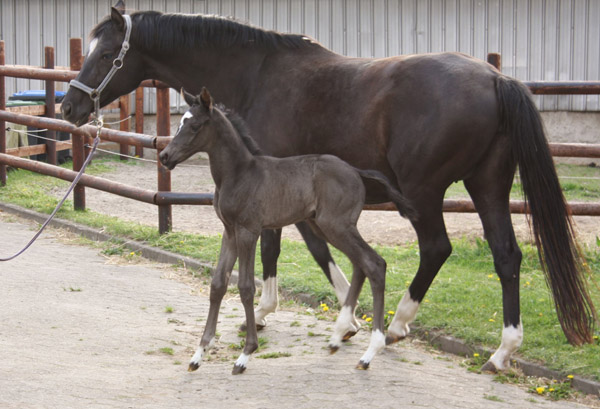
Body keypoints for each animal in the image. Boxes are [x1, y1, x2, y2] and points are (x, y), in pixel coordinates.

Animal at [158, 89, 412, 372]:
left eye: (194, 126)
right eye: (179, 124)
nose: (165, 156)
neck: (239, 174)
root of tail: (356, 171)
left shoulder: (248, 231)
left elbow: (246, 287)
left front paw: (245, 354)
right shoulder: (229, 232)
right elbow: (217, 285)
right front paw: (198, 354)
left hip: (337, 225)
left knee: (374, 263)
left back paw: (369, 352)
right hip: (325, 226)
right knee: (361, 265)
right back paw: (338, 337)